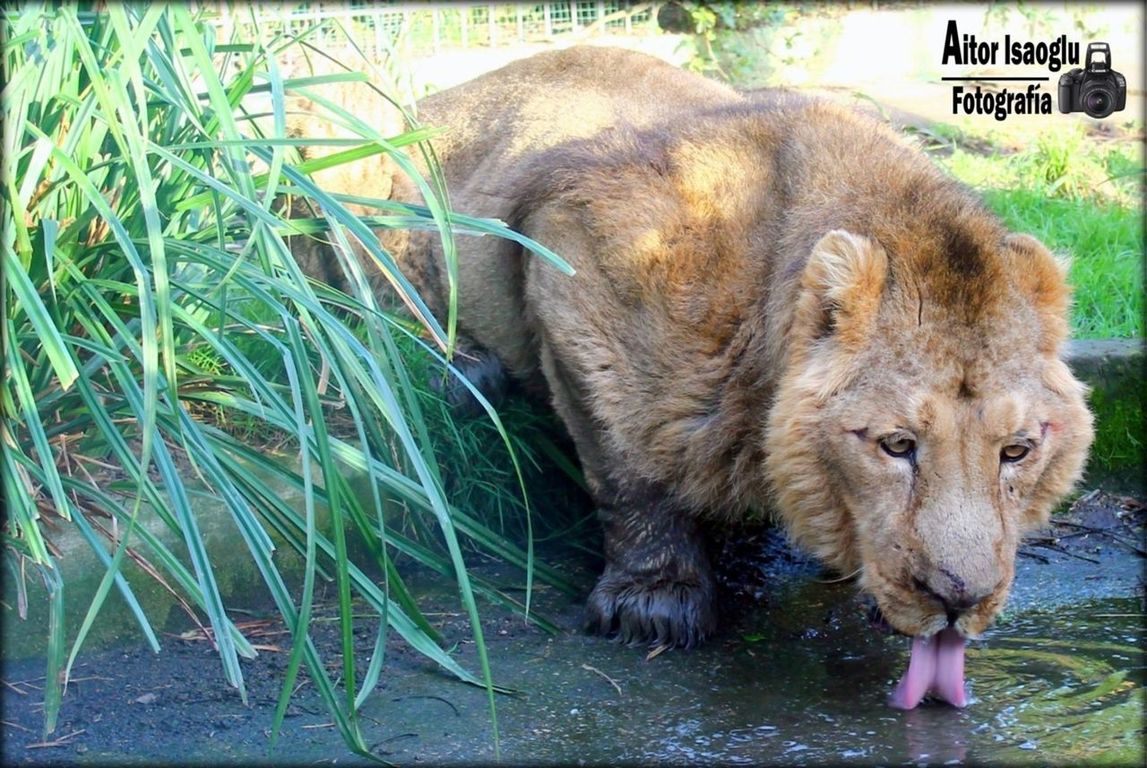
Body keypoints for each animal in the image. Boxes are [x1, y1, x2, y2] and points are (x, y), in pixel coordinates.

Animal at [286, 46, 1091, 710]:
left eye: (1016, 451)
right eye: (895, 446)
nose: (959, 600)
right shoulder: (567, 256)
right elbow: (625, 465)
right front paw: (655, 603)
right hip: (332, 132)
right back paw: (456, 366)